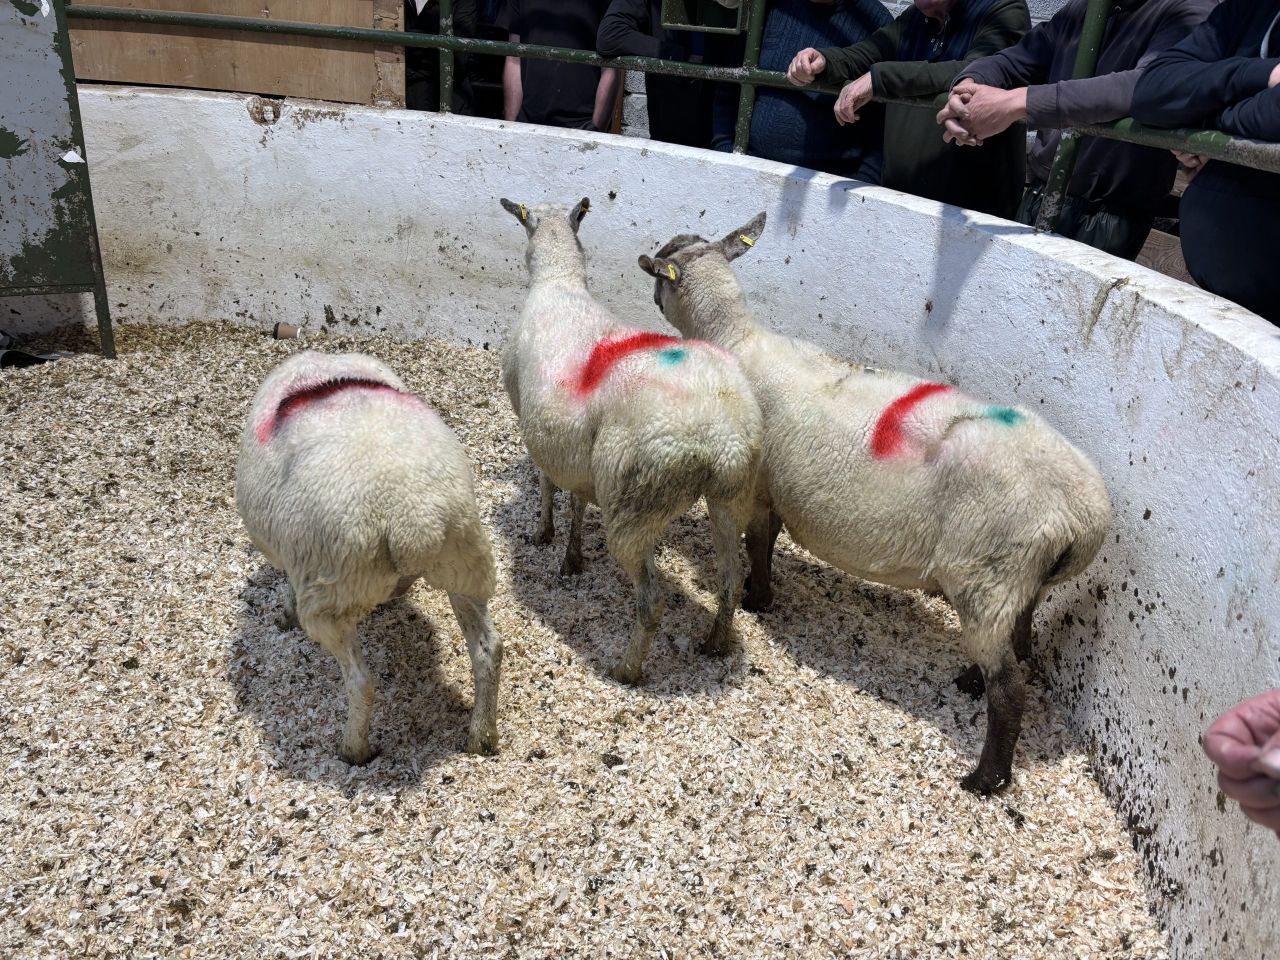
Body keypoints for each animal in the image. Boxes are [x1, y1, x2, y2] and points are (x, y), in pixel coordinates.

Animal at [235, 350, 503, 764]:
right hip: (466, 563)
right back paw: (481, 738)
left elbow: (288, 590)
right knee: (489, 651)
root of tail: (412, 516)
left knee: (361, 682)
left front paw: (284, 614)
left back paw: (352, 750)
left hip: (332, 596)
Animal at [499, 197, 763, 684]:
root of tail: (717, 436)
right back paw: (715, 643)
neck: (559, 282)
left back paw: (626, 669)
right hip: (733, 494)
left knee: (652, 601)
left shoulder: (533, 426)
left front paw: (543, 533)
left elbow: (546, 485)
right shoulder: (576, 452)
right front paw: (571, 557)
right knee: (731, 578)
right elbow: (577, 500)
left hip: (634, 503)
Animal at [638, 213, 1112, 795]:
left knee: (1010, 689)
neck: (736, 340)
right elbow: (765, 545)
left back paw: (984, 778)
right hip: (1022, 580)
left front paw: (756, 599)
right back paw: (970, 684)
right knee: (1019, 646)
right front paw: (758, 595)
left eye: (662, 268)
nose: (652, 292)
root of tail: (1085, 516)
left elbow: (759, 545)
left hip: (987, 575)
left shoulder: (760, 489)